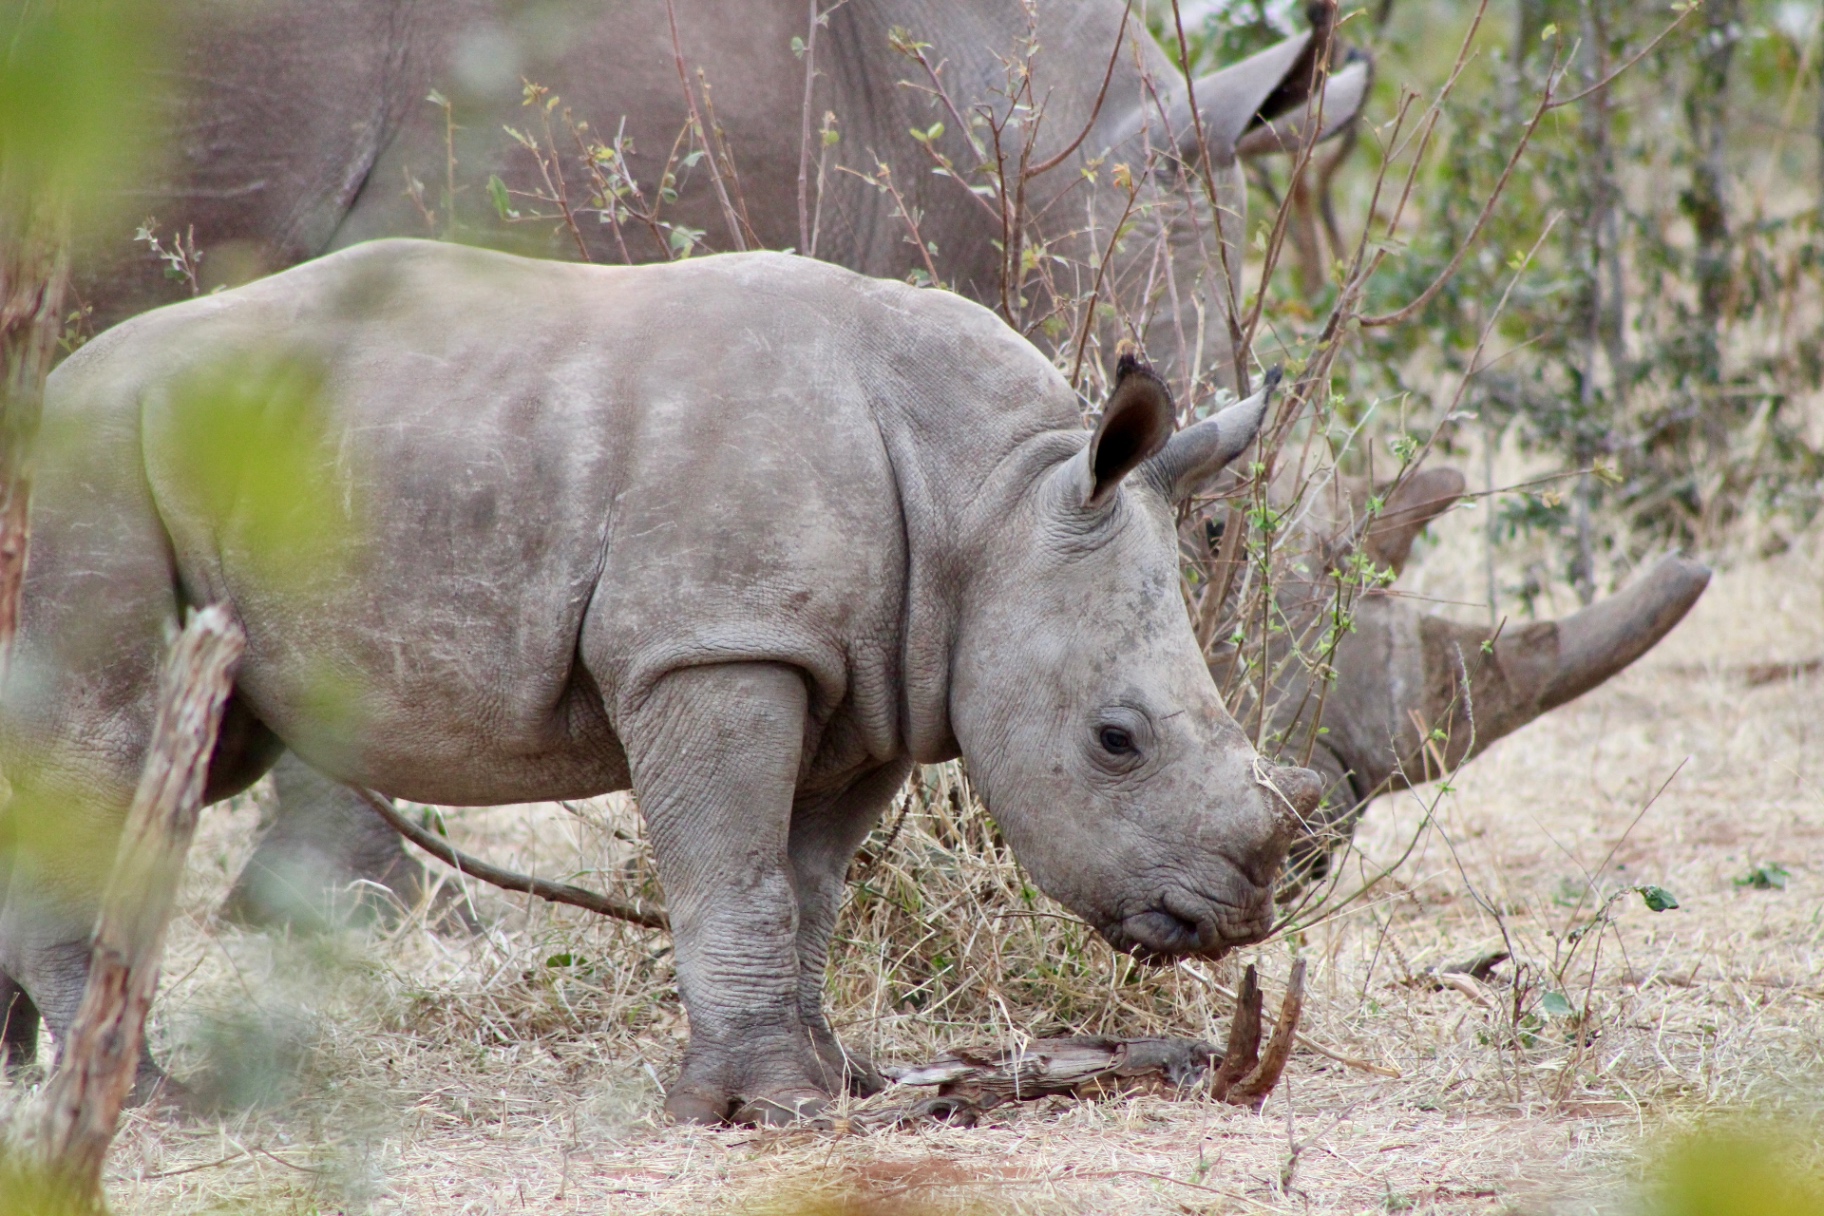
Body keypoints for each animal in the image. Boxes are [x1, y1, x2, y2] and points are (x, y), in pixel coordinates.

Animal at [0, 239, 1326, 1122]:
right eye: (1117, 740)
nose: (1236, 917)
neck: (989, 498)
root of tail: (51, 393)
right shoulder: (716, 640)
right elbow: (735, 877)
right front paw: (763, 1109)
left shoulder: (872, 676)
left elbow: (806, 889)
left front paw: (833, 1079)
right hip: (95, 463)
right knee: (112, 737)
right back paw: (148, 1102)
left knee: (182, 754)